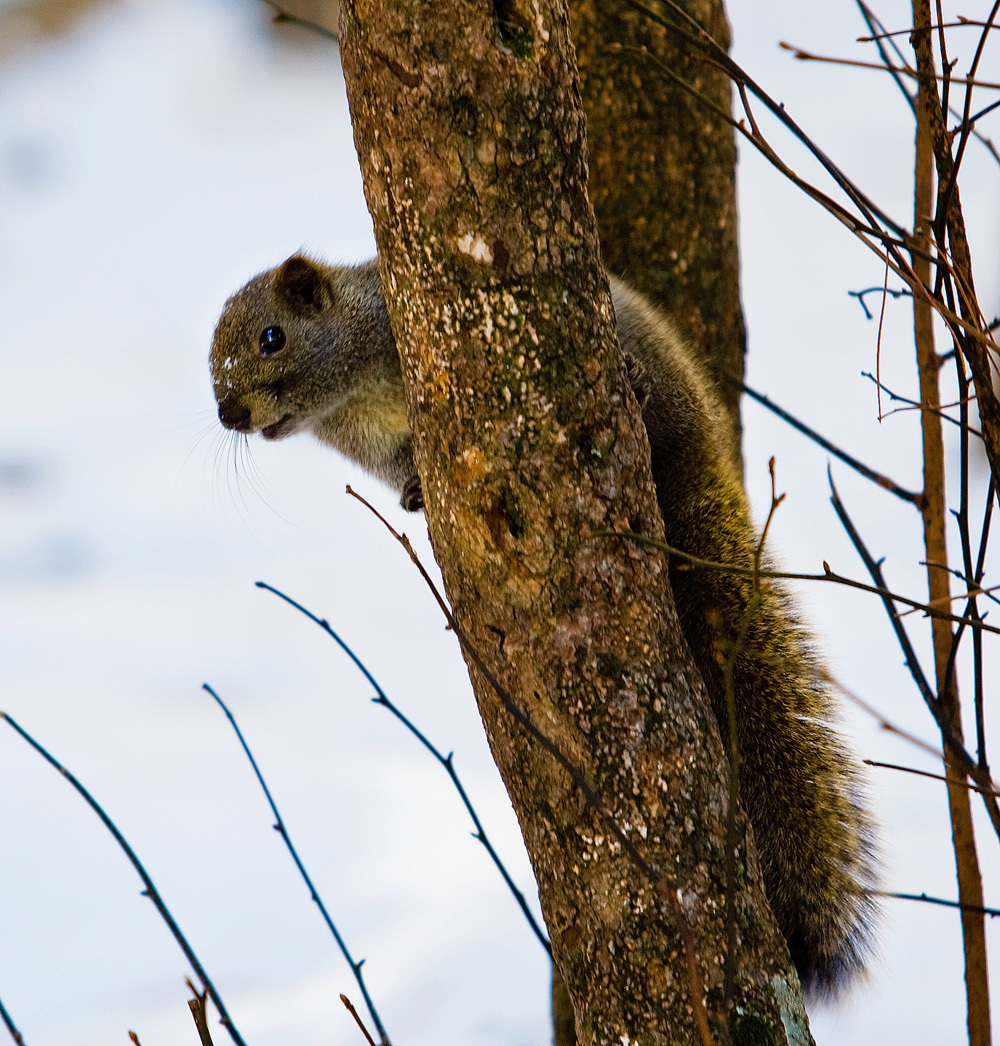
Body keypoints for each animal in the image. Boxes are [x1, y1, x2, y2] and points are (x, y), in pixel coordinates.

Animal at [209, 251, 874, 995]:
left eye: (272, 337)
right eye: (212, 362)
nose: (229, 413)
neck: (352, 395)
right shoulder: (375, 449)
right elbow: (403, 470)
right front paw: (412, 493)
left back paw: (639, 388)